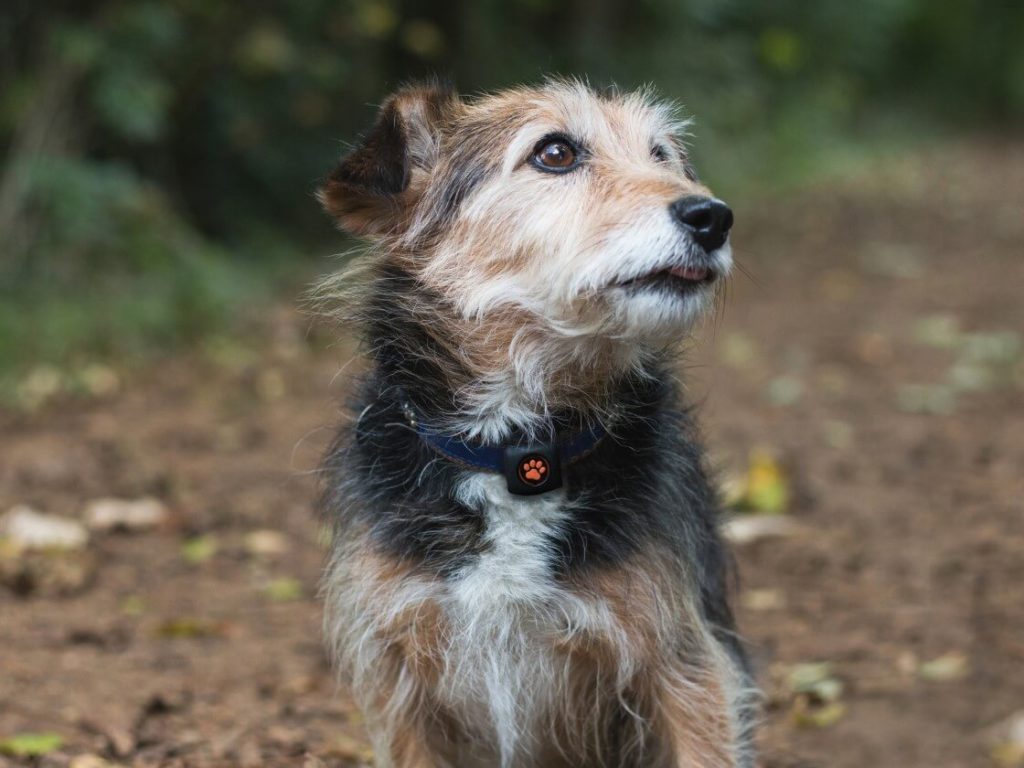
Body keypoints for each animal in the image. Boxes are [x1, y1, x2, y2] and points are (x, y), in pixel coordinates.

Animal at [315, 79, 757, 768]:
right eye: (555, 153)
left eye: (662, 155)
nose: (712, 216)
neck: (521, 450)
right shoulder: (398, 682)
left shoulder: (687, 666)